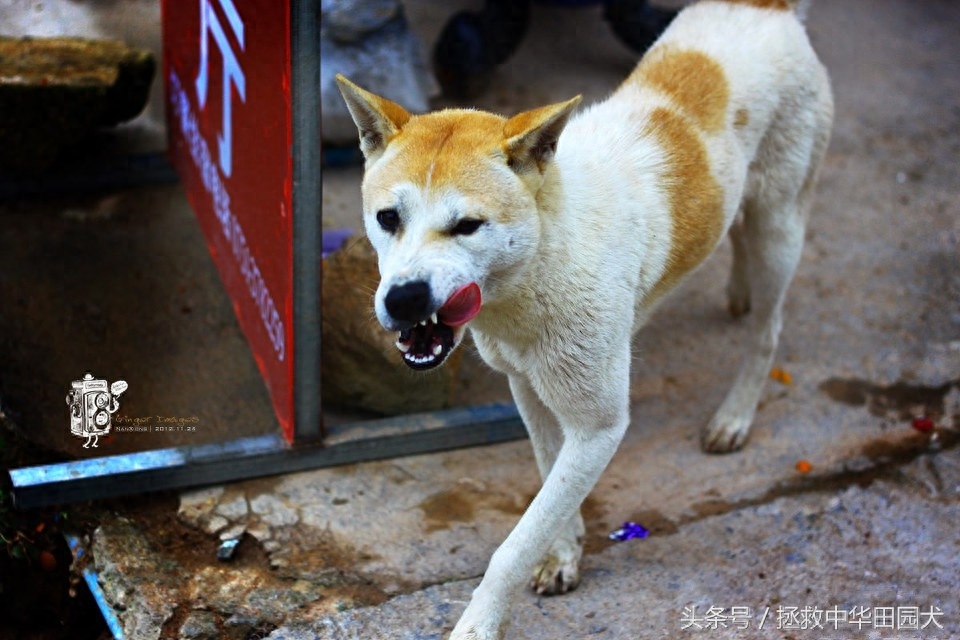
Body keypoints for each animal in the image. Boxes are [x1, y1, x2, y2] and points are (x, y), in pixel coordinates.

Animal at [338, 1, 832, 636]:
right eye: (387, 218)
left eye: (467, 226)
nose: (402, 300)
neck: (544, 254)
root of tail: (764, 9)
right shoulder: (526, 390)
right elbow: (551, 487)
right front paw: (564, 553)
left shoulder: (598, 425)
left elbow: (515, 543)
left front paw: (480, 621)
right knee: (736, 240)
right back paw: (737, 292)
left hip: (781, 228)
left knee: (768, 331)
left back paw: (735, 415)